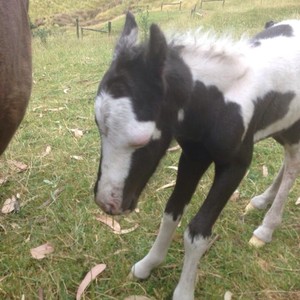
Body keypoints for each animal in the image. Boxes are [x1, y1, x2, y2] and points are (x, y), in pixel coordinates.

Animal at [94, 14, 300, 300]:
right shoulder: (193, 156)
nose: (107, 204)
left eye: (142, 140)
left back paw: (266, 229)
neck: (220, 103)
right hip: (282, 125)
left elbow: (198, 231)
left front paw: (183, 291)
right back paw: (260, 201)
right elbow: (171, 213)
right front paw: (147, 265)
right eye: (98, 126)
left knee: (292, 164)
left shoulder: (236, 165)